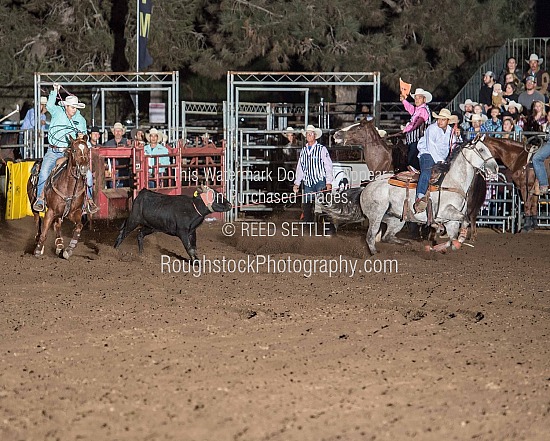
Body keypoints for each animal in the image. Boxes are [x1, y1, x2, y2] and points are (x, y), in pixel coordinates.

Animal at [360, 138, 502, 254]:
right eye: (481, 149)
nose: (495, 167)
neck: (454, 181)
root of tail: (368, 186)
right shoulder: (446, 211)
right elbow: (465, 219)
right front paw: (459, 238)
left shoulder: (451, 221)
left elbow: (452, 238)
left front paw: (443, 245)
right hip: (376, 215)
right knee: (370, 236)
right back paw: (375, 254)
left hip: (396, 218)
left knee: (387, 236)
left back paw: (406, 243)